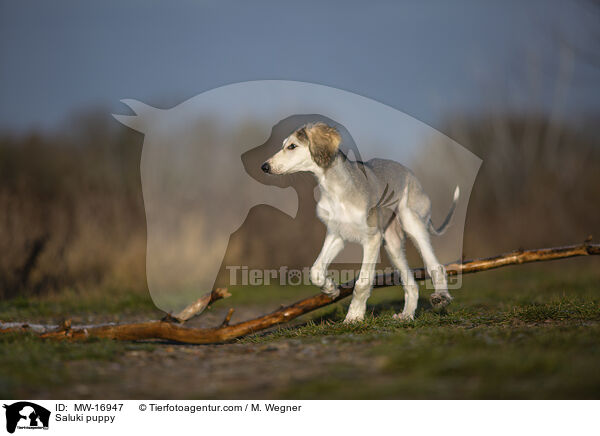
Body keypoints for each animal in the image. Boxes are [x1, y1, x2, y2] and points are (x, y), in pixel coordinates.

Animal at [260, 122, 458, 320]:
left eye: (292, 146)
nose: (264, 167)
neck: (337, 191)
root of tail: (409, 172)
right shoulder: (337, 235)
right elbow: (315, 271)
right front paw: (331, 289)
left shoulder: (372, 238)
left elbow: (362, 282)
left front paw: (354, 316)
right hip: (392, 244)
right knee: (411, 284)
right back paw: (406, 315)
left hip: (412, 222)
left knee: (436, 266)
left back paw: (441, 297)